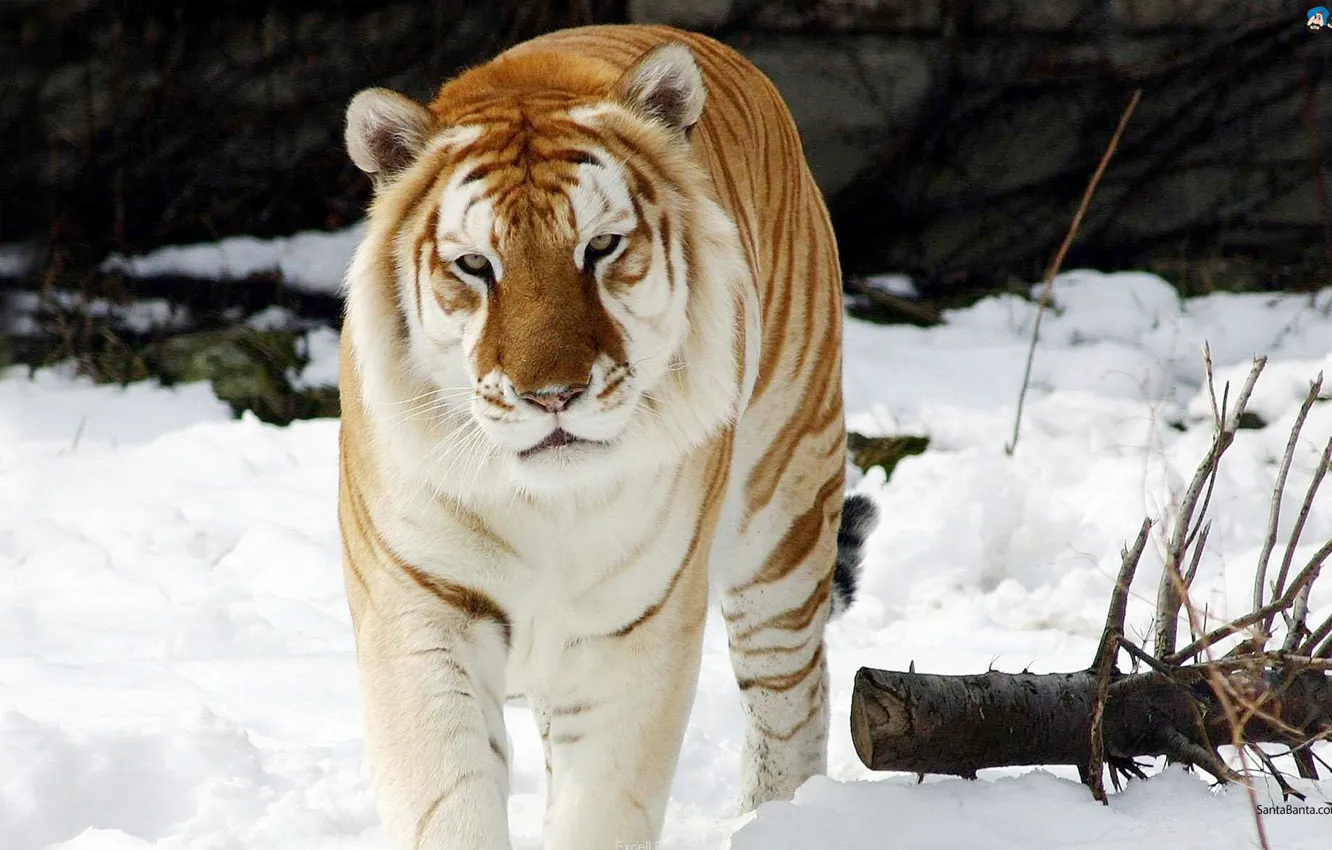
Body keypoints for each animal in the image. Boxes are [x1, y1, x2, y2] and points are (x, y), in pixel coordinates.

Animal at [337, 23, 877, 850]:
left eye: (600, 248)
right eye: (475, 265)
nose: (553, 395)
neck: (544, 505)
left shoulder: (634, 627)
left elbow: (602, 806)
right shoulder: (421, 611)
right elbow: (450, 801)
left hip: (783, 512)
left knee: (793, 695)